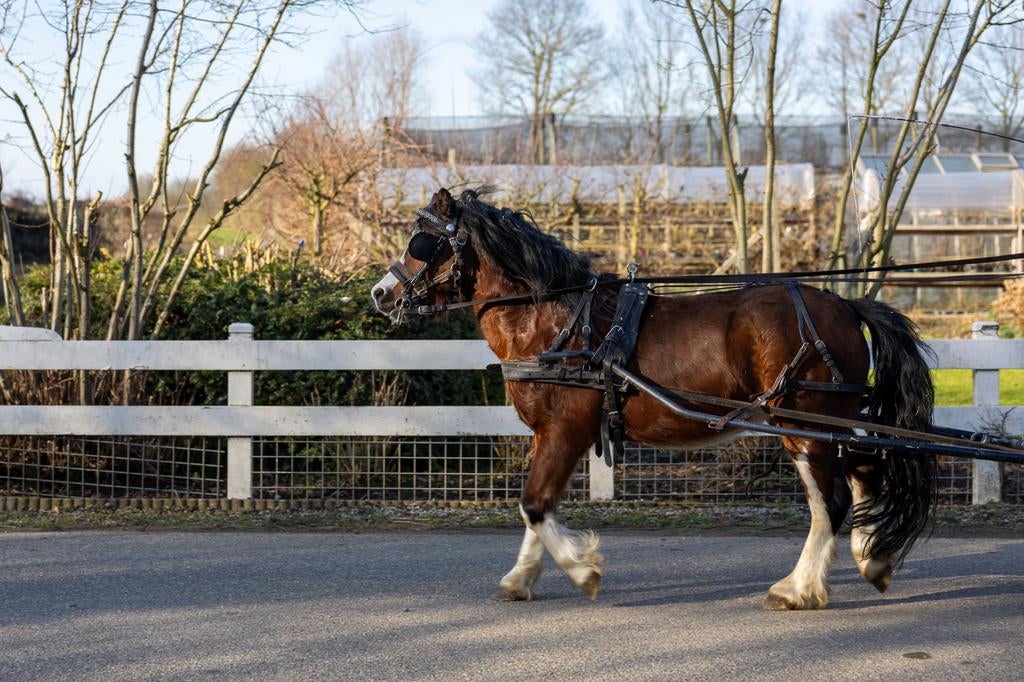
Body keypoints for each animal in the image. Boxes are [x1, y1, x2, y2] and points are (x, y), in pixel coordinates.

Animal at [371, 187, 936, 610]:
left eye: (421, 241)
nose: (381, 293)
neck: (554, 323)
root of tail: (845, 305)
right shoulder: (551, 435)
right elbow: (537, 505)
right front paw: (521, 579)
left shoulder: (566, 430)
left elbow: (534, 504)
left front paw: (583, 572)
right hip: (826, 422)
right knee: (866, 467)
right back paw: (872, 559)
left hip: (802, 426)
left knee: (831, 502)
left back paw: (798, 589)